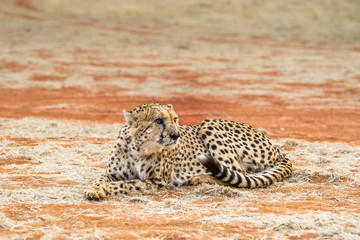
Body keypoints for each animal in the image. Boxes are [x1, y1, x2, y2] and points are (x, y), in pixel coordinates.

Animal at [85, 102, 292, 200]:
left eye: (175, 119)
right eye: (158, 121)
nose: (176, 135)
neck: (138, 147)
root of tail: (276, 148)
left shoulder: (157, 181)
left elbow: (127, 183)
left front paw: (106, 189)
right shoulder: (111, 173)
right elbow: (99, 178)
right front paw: (94, 190)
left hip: (209, 123)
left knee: (237, 174)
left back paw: (198, 178)